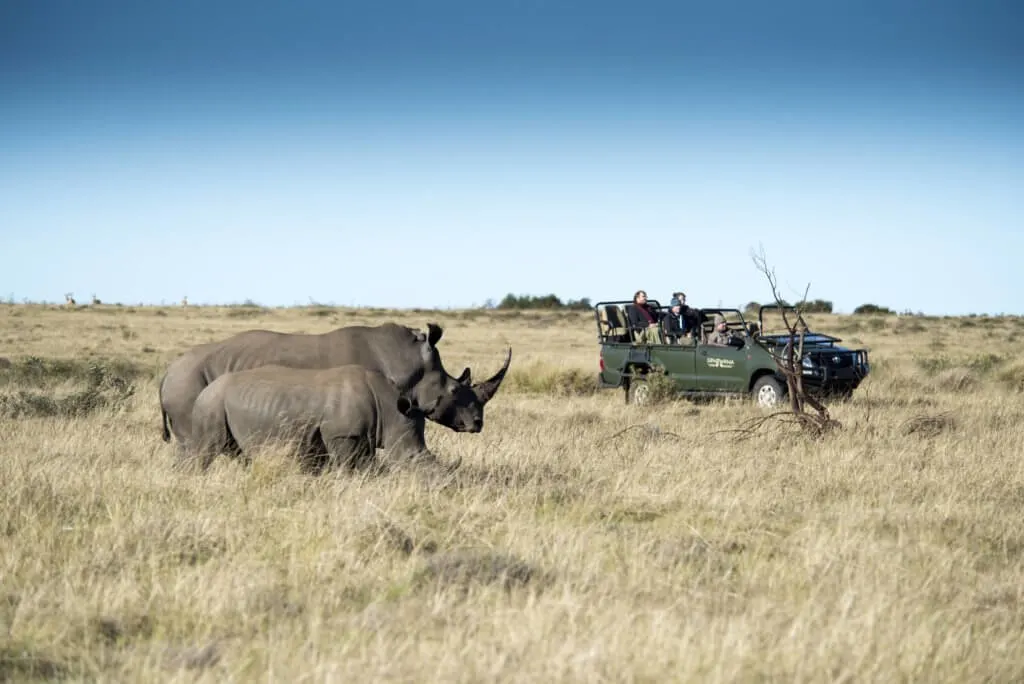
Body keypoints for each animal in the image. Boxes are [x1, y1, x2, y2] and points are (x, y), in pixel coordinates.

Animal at [187, 366, 460, 473]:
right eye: (412, 459)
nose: (442, 487)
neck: (390, 410)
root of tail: (205, 389)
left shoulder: (363, 435)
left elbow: (366, 465)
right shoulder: (342, 434)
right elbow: (349, 466)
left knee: (238, 452)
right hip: (211, 404)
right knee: (206, 450)